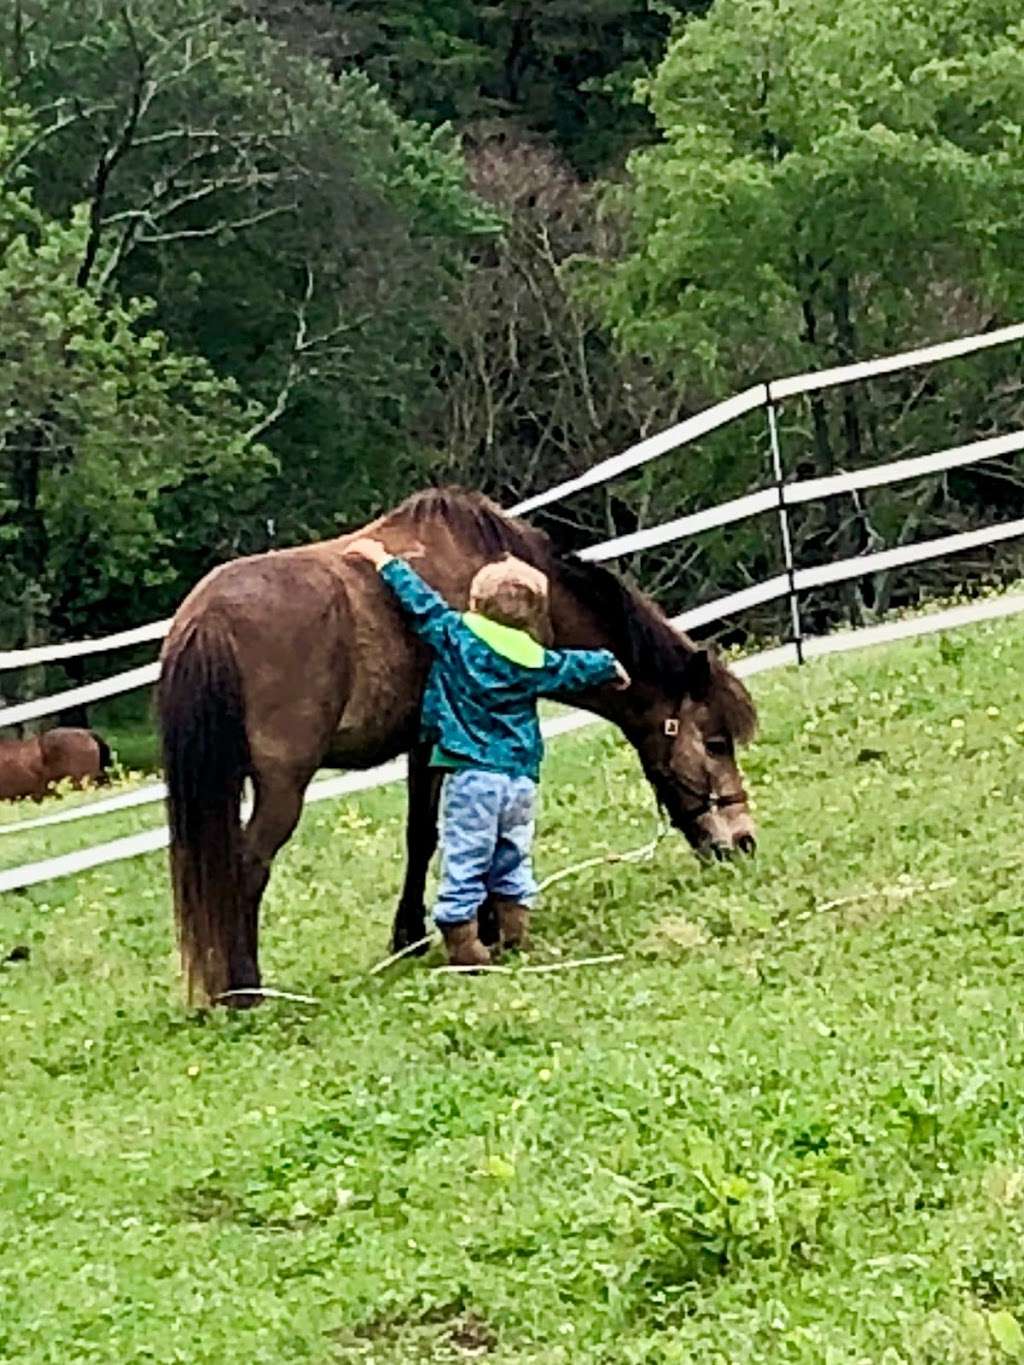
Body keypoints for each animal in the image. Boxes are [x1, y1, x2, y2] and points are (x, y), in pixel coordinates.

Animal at [156, 488, 759, 1004]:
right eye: (715, 743)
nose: (743, 841)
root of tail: (205, 618)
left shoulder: (423, 745)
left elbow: (421, 837)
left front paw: (414, 934)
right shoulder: (439, 744)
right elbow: (437, 837)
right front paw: (471, 928)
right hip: (283, 786)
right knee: (248, 865)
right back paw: (244, 991)